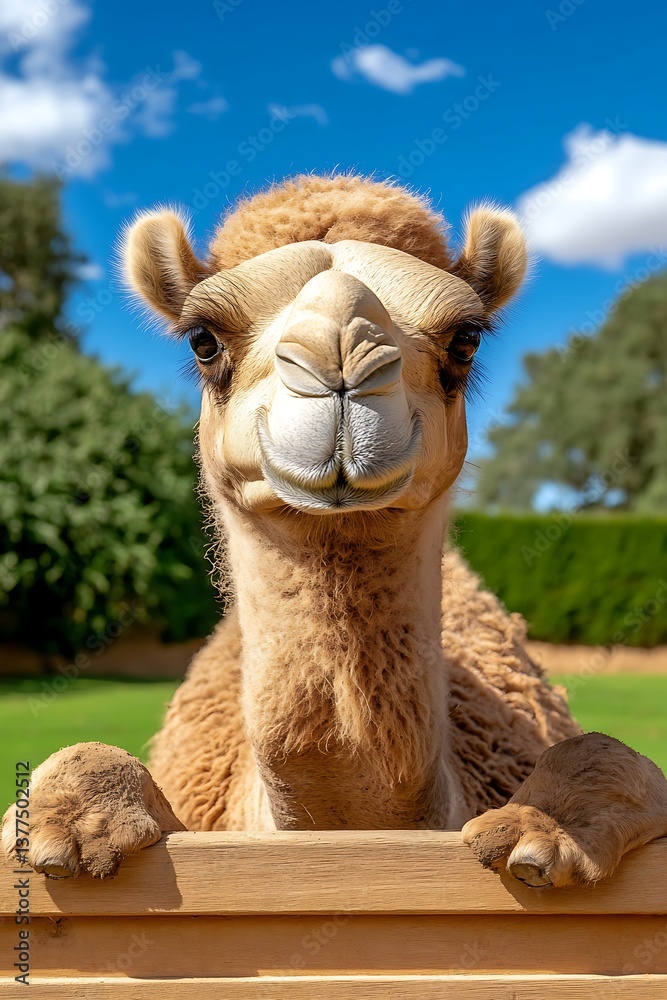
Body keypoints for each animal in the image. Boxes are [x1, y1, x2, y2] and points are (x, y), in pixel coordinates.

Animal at [4, 175, 667, 890]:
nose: (342, 364)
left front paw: (540, 838)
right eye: (202, 340)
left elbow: (604, 758)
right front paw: (65, 833)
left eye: (466, 341)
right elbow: (80, 767)